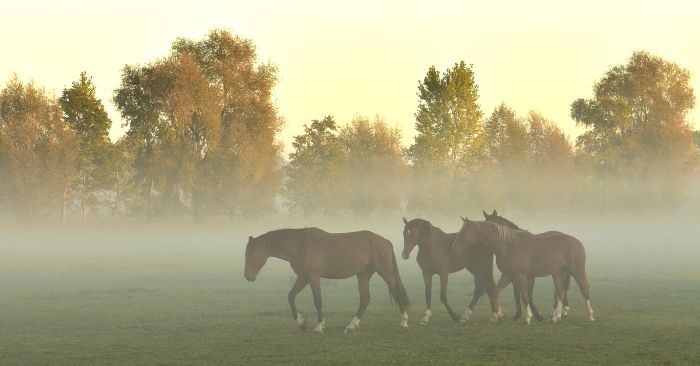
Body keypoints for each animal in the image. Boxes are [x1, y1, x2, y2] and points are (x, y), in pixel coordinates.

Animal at [246, 227, 410, 334]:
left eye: (250, 254)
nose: (247, 276)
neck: (300, 244)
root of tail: (385, 241)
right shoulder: (303, 277)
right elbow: (291, 296)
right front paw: (302, 322)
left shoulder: (313, 277)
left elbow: (317, 301)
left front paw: (319, 326)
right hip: (363, 275)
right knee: (365, 299)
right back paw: (351, 325)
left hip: (385, 272)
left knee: (397, 292)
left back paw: (404, 322)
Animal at [452, 217, 592, 324]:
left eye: (463, 233)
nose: (455, 248)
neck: (509, 246)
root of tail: (577, 242)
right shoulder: (508, 276)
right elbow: (495, 292)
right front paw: (499, 315)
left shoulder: (521, 276)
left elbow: (525, 296)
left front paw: (527, 318)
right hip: (558, 273)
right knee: (560, 292)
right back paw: (555, 318)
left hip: (577, 271)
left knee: (584, 289)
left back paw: (590, 315)